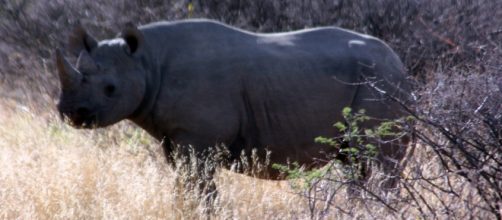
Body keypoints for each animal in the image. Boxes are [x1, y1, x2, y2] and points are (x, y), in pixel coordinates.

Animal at [56, 20, 412, 192]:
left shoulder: (197, 140)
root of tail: (400, 64)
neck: (146, 62)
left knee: (378, 163)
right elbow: (186, 189)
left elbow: (200, 191)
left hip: (382, 82)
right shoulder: (176, 139)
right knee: (359, 166)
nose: (71, 113)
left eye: (110, 89)